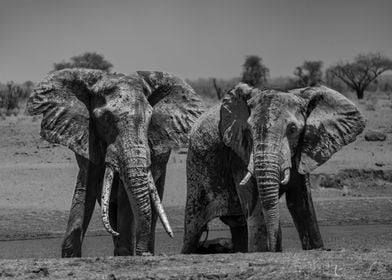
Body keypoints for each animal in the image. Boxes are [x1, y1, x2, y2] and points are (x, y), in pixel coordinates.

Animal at [26, 69, 205, 258]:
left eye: (150, 117)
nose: (142, 254)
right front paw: (70, 255)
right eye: (104, 118)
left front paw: (125, 251)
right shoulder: (87, 136)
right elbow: (86, 188)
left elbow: (125, 196)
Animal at [182, 83, 366, 254]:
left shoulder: (300, 151)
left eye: (293, 129)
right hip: (195, 176)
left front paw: (316, 248)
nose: (275, 248)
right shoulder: (238, 154)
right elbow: (256, 207)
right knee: (193, 230)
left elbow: (300, 204)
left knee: (239, 226)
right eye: (248, 131)